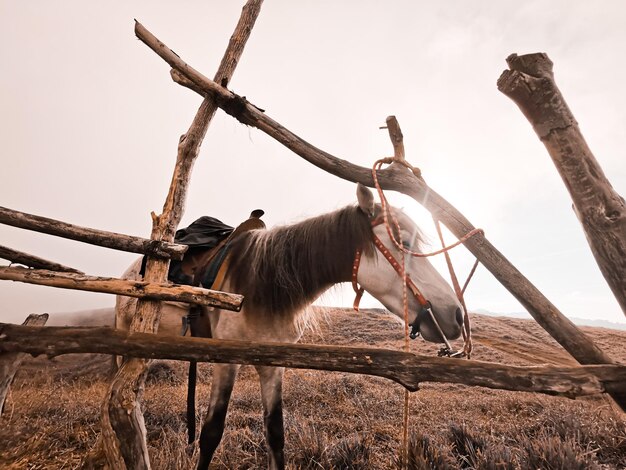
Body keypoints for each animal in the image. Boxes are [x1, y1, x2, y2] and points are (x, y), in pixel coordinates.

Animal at [116, 184, 464, 470]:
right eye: (403, 242)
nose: (457, 314)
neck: (260, 285)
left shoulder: (274, 366)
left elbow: (275, 434)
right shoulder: (227, 362)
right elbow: (211, 434)